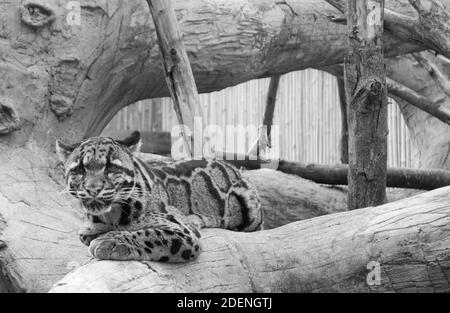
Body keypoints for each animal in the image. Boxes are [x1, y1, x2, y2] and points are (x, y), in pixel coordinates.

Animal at [55, 130, 264, 262]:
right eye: (79, 169)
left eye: (111, 168)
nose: (93, 189)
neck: (110, 215)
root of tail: (233, 167)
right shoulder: (87, 228)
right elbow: (86, 232)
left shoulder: (184, 231)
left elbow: (149, 233)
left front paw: (111, 241)